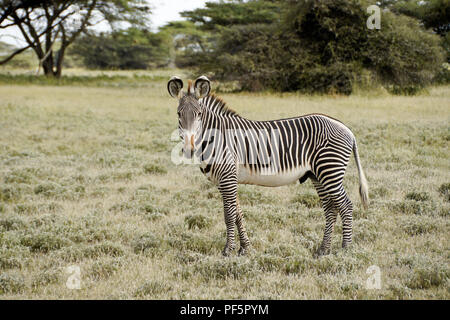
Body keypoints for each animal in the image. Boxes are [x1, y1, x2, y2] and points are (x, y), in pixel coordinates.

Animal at [167, 75, 368, 258]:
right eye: (178, 114)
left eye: (199, 114)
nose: (189, 149)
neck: (216, 136)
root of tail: (346, 128)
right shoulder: (226, 180)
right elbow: (238, 213)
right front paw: (245, 249)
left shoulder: (227, 177)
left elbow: (229, 214)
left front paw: (227, 251)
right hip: (317, 174)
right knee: (330, 209)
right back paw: (323, 250)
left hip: (329, 170)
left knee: (345, 206)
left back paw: (345, 250)